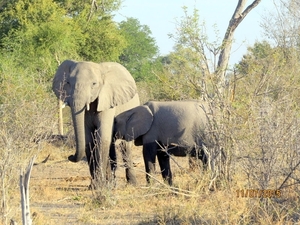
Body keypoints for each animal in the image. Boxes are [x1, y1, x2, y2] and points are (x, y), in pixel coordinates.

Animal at [52, 59, 139, 187]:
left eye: (94, 84)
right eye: (67, 83)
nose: (70, 156)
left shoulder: (107, 100)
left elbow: (101, 138)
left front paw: (99, 186)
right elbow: (89, 141)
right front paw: (94, 186)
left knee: (125, 146)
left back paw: (131, 184)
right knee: (111, 145)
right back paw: (111, 184)